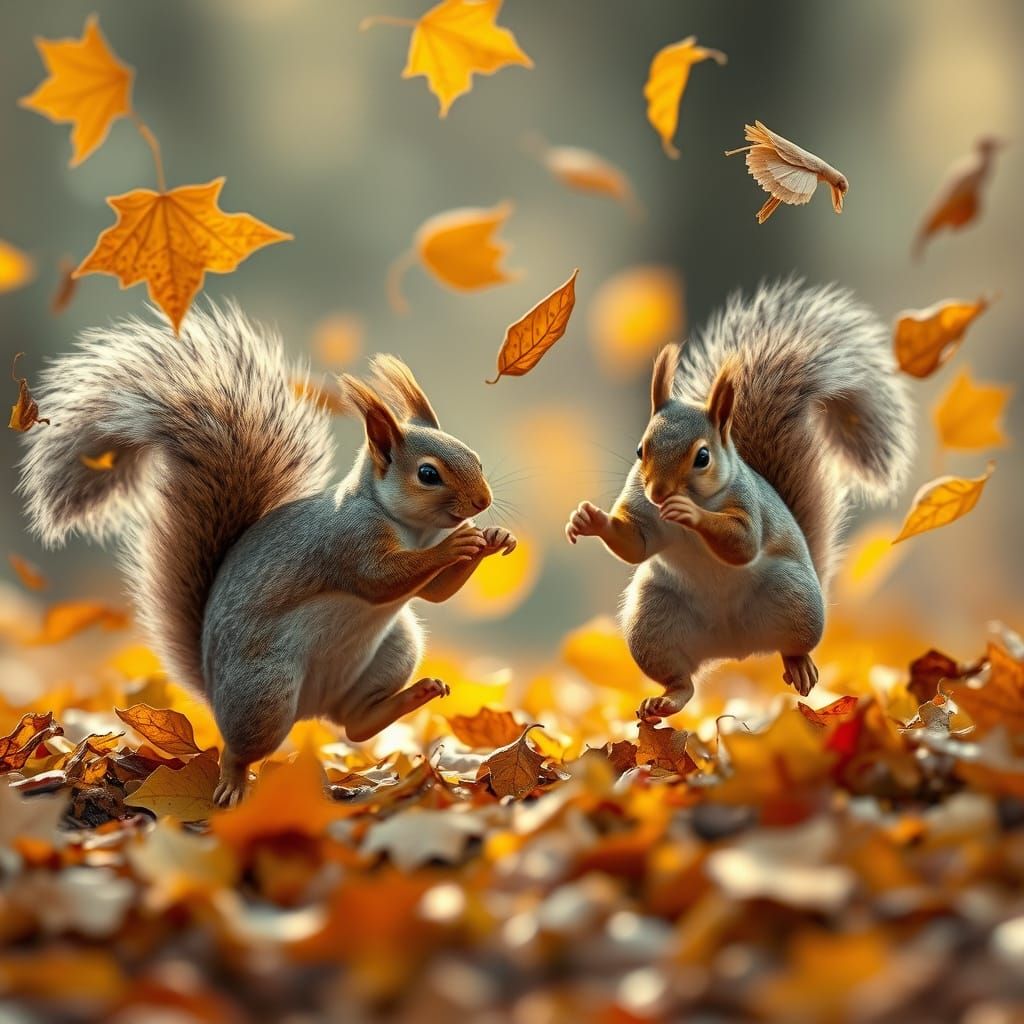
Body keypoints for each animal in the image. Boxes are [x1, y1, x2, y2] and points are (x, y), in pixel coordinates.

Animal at [18, 303, 516, 806]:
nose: (483, 501)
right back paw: (232, 785)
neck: (408, 527)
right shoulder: (348, 541)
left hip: (396, 649)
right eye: (428, 474)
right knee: (242, 749)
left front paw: (493, 538)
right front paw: (461, 542)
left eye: (474, 457)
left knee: (355, 725)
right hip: (264, 693)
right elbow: (379, 579)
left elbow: (434, 594)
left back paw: (416, 694)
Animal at [565, 280, 914, 721]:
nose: (659, 493)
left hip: (793, 597)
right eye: (640, 450)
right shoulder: (642, 511)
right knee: (682, 680)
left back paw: (799, 665)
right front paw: (589, 520)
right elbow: (635, 545)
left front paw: (691, 512)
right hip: (653, 620)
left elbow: (742, 543)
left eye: (702, 457)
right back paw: (667, 698)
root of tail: (734, 649)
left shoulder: (749, 507)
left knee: (791, 645)